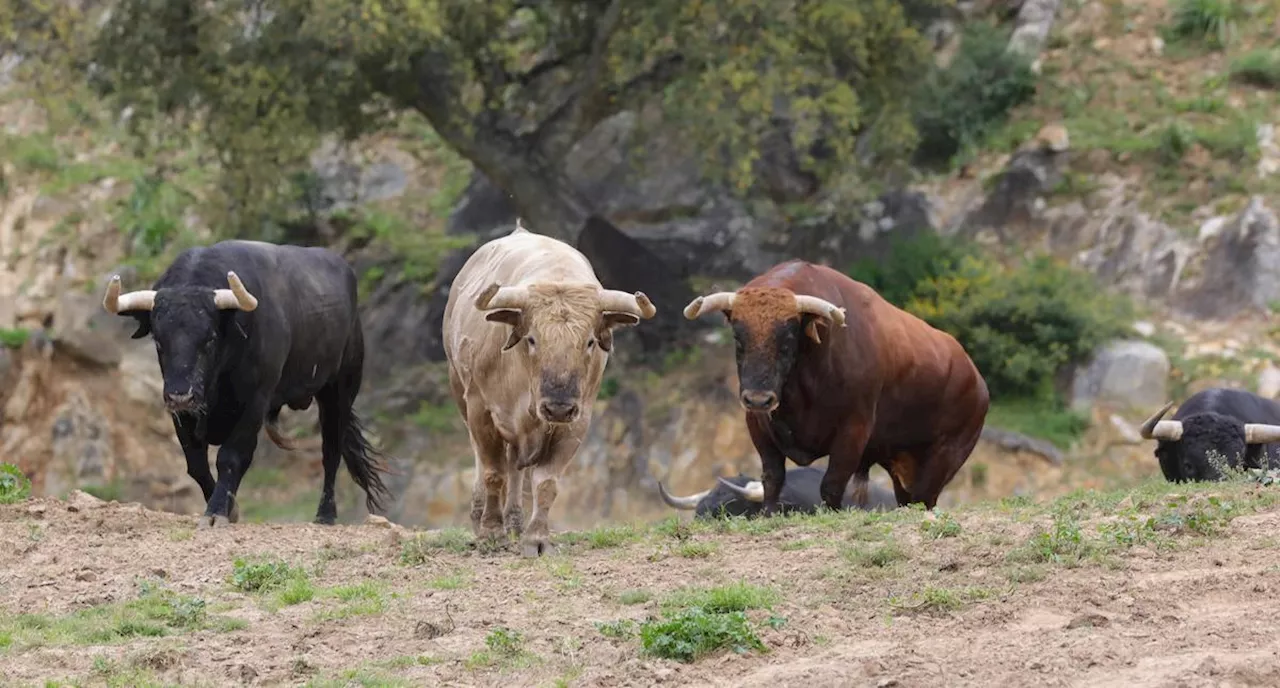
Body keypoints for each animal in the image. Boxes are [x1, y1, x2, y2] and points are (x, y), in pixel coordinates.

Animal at [103, 237, 389, 521]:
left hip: (340, 388)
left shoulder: (255, 402)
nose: (180, 395)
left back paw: (326, 515)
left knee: (331, 451)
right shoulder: (183, 414)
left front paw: (218, 511)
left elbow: (231, 456)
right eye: (159, 341)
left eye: (210, 338)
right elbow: (196, 464)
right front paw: (230, 509)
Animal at [442, 222, 660, 555]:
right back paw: (481, 518)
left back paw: (515, 522)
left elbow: (545, 482)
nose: (557, 406)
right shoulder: (481, 410)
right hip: (460, 391)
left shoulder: (576, 421)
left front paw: (536, 538)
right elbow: (493, 472)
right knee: (487, 463)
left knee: (516, 469)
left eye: (590, 341)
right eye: (532, 338)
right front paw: (491, 532)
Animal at [680, 259, 988, 511]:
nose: (758, 399)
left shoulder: (853, 430)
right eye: (738, 337)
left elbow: (832, 485)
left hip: (943, 458)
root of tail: (976, 379)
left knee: (924, 499)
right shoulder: (758, 425)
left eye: (787, 339)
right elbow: (772, 479)